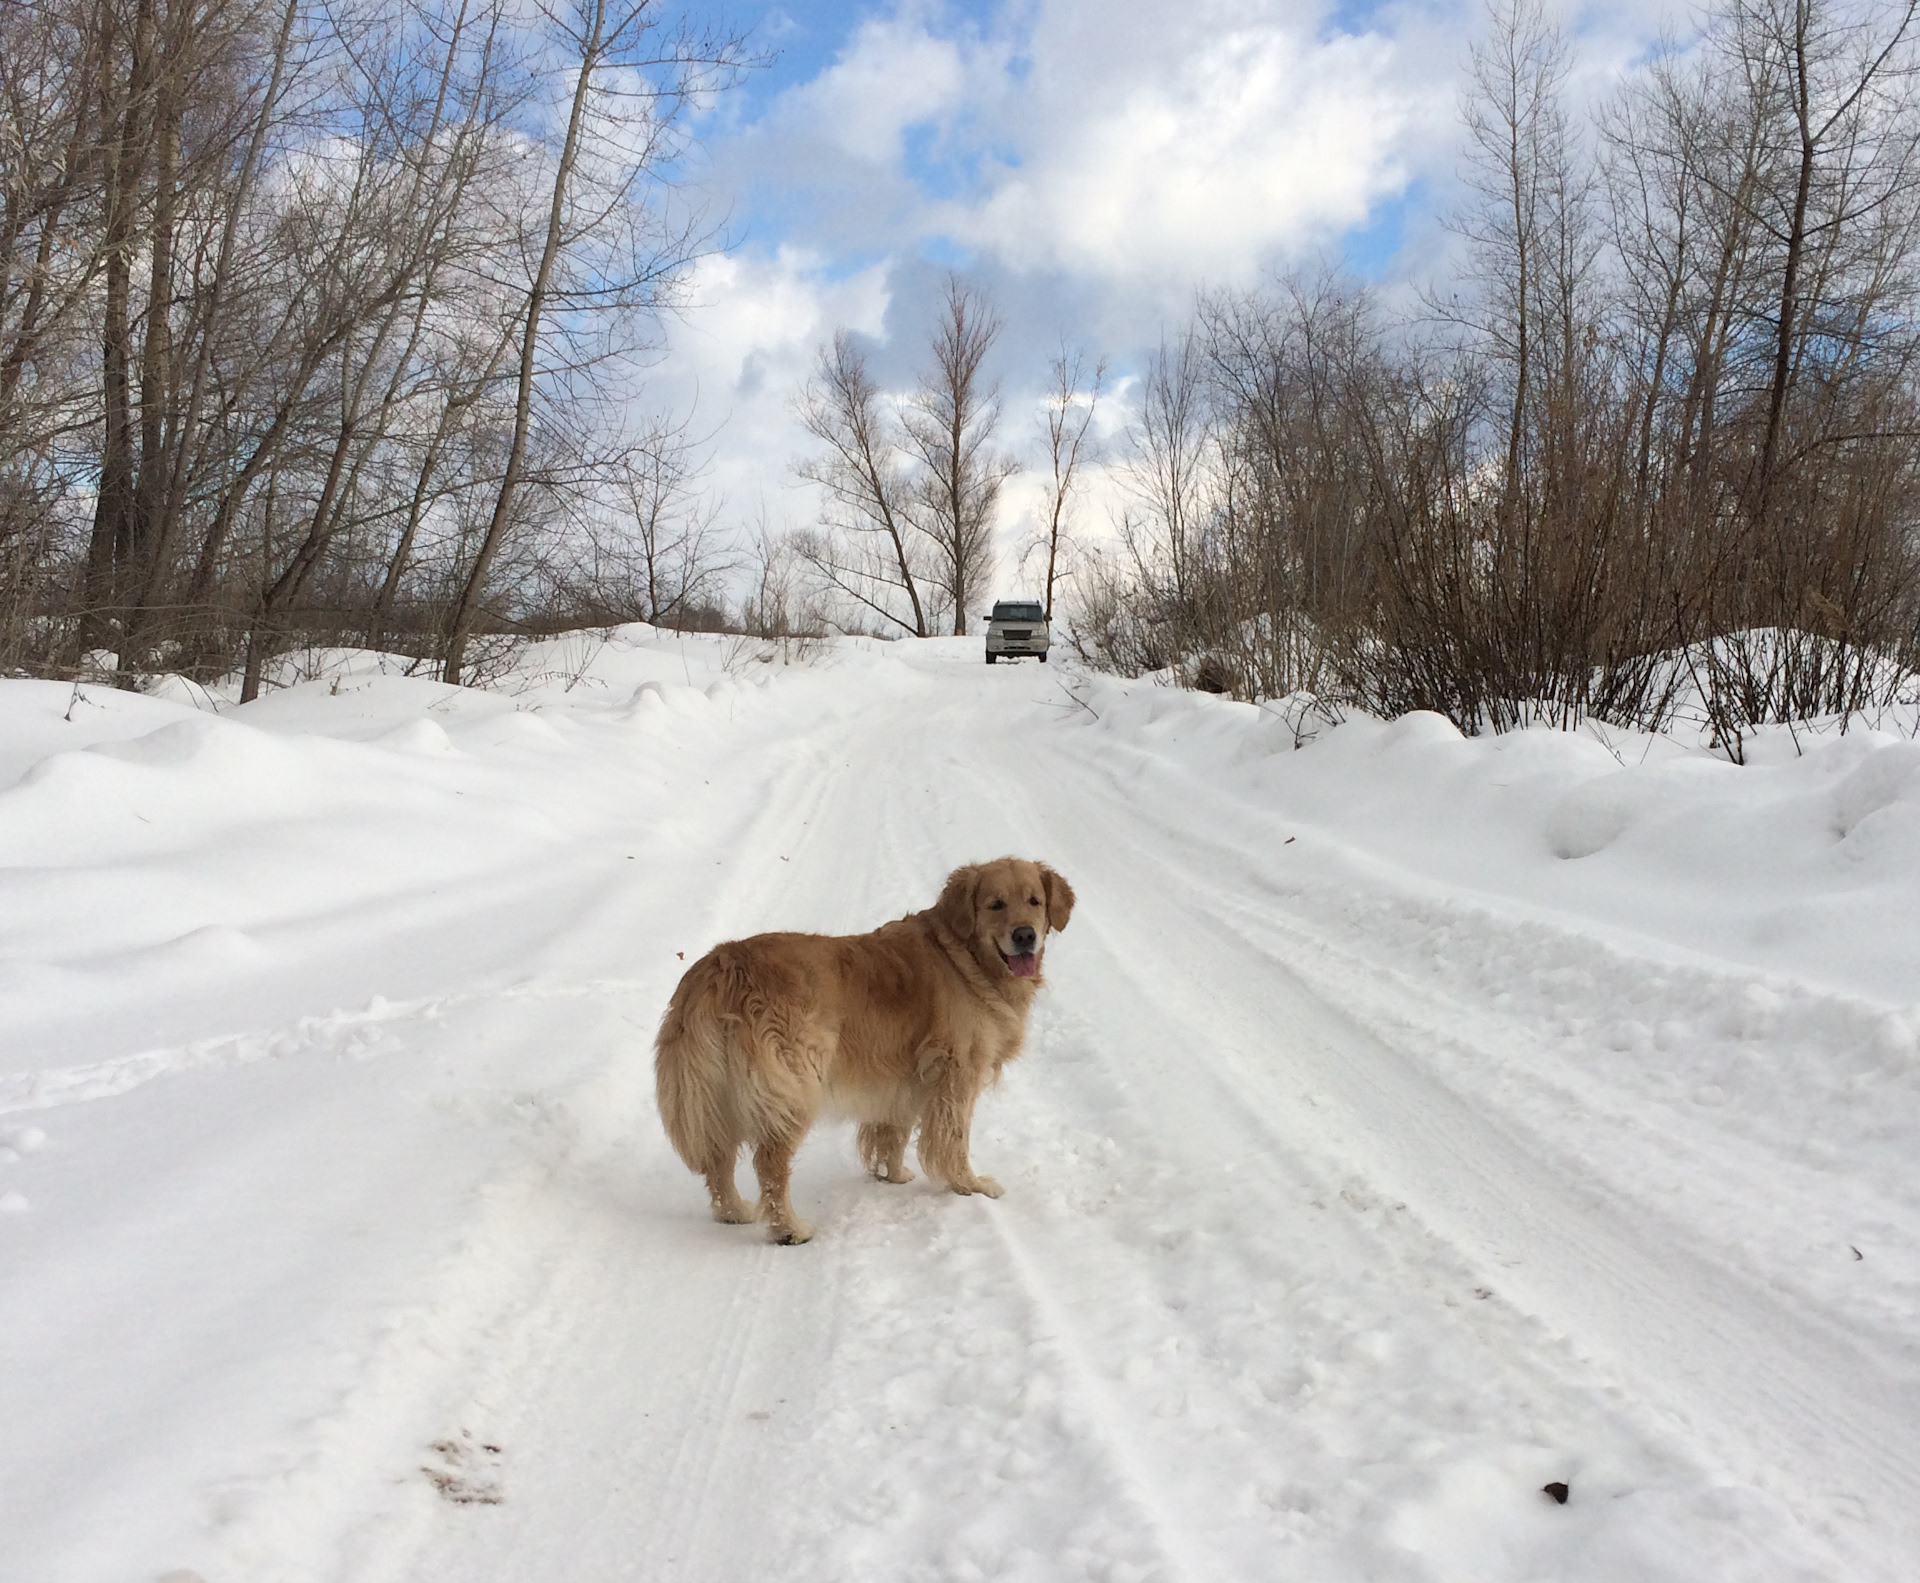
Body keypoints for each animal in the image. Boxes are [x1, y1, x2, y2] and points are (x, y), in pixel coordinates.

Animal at [656, 860, 1082, 1244]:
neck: (964, 957)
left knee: (718, 1157)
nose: (1025, 935)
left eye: (1034, 901)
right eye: (995, 904)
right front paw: (969, 1185)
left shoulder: (903, 1075)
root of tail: (724, 962)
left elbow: (893, 1129)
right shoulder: (956, 1071)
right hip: (794, 1085)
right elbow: (954, 1139)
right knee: (769, 1165)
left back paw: (733, 1211)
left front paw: (892, 1175)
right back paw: (789, 1229)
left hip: (714, 1094)